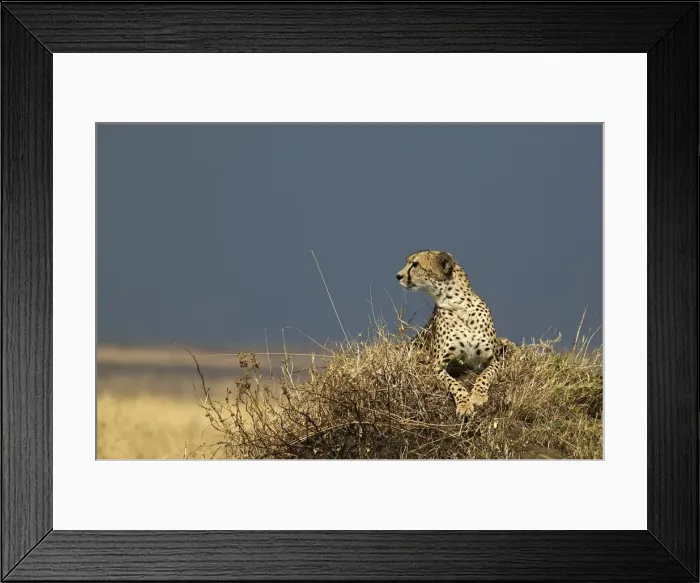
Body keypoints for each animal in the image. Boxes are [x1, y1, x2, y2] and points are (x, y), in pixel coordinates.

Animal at [396, 249, 515, 419]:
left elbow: (485, 375)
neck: (459, 304)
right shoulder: (438, 365)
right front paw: (464, 405)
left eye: (415, 264)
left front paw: (478, 396)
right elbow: (455, 384)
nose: (398, 276)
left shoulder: (494, 361)